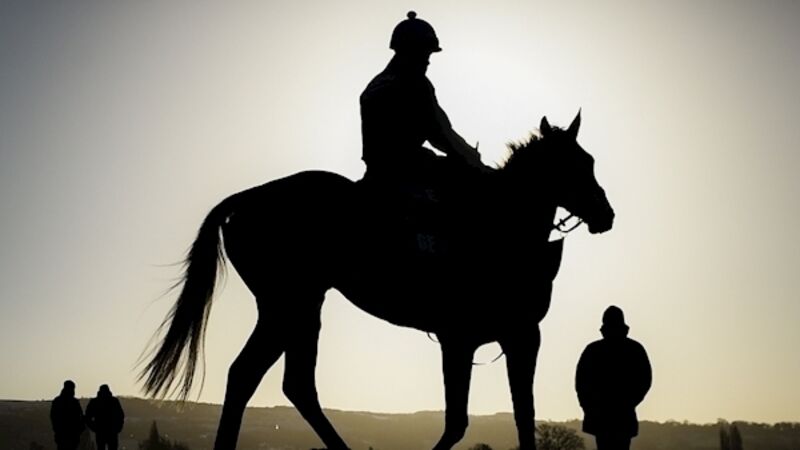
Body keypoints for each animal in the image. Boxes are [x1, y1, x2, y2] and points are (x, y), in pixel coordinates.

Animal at [139, 112, 615, 450]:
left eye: (590, 162)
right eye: (575, 165)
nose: (605, 215)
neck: (501, 227)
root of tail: (247, 198)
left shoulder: (520, 336)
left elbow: (523, 415)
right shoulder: (461, 339)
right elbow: (458, 422)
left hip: (299, 307)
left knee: (279, 381)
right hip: (288, 304)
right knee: (258, 376)